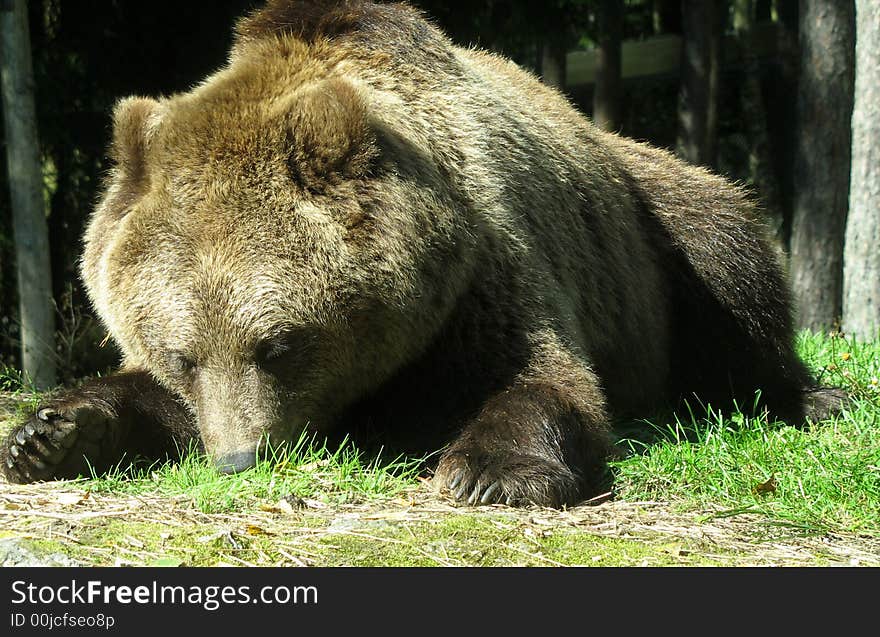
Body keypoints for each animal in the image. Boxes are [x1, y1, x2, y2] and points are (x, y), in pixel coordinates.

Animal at [1, 1, 852, 506]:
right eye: (181, 353)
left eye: (279, 343)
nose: (242, 457)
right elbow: (146, 400)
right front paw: (48, 434)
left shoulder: (485, 271)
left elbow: (545, 378)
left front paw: (486, 470)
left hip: (652, 227)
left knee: (730, 265)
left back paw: (809, 396)